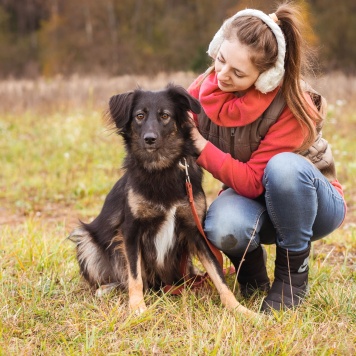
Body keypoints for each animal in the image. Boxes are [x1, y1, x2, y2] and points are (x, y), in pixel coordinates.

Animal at [69, 84, 253, 318]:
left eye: (165, 116)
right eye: (139, 116)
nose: (149, 138)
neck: (161, 168)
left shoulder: (195, 228)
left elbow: (217, 274)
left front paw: (239, 309)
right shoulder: (131, 230)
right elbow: (134, 276)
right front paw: (137, 307)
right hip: (85, 240)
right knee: (120, 276)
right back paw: (107, 288)